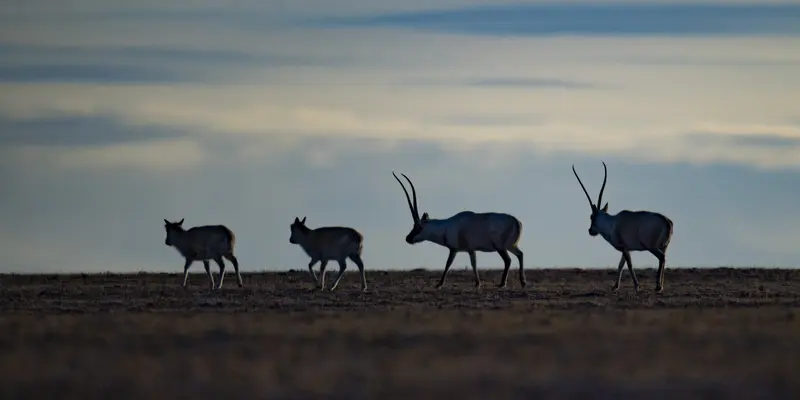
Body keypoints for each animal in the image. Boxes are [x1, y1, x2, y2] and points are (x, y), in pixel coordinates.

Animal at [392, 170, 524, 290]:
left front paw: (439, 284)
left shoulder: (454, 249)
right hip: (511, 246)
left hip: (501, 247)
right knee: (520, 254)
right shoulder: (470, 250)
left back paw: (502, 284)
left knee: (508, 260)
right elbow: (473, 264)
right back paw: (522, 282)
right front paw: (477, 283)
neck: (446, 226)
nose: (408, 238)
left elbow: (448, 264)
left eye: (418, 226)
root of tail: (516, 221)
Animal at [572, 161, 672, 292]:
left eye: (591, 217)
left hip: (652, 247)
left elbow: (629, 265)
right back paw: (661, 285)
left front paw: (636, 286)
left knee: (662, 258)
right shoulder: (627, 249)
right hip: (664, 246)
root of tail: (667, 221)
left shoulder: (624, 248)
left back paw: (658, 286)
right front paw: (615, 286)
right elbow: (620, 265)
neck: (612, 223)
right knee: (664, 259)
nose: (590, 231)